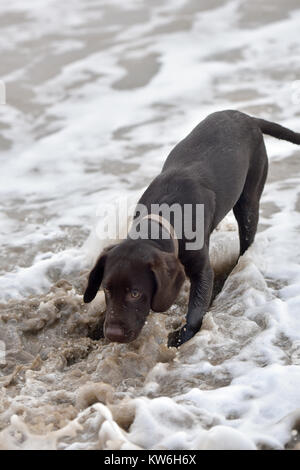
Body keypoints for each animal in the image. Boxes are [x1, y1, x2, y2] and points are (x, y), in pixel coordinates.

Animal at [82, 109, 300, 346]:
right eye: (106, 289)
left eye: (135, 293)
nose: (113, 334)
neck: (163, 216)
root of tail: (247, 117)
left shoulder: (202, 270)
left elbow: (196, 309)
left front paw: (182, 336)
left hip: (249, 198)